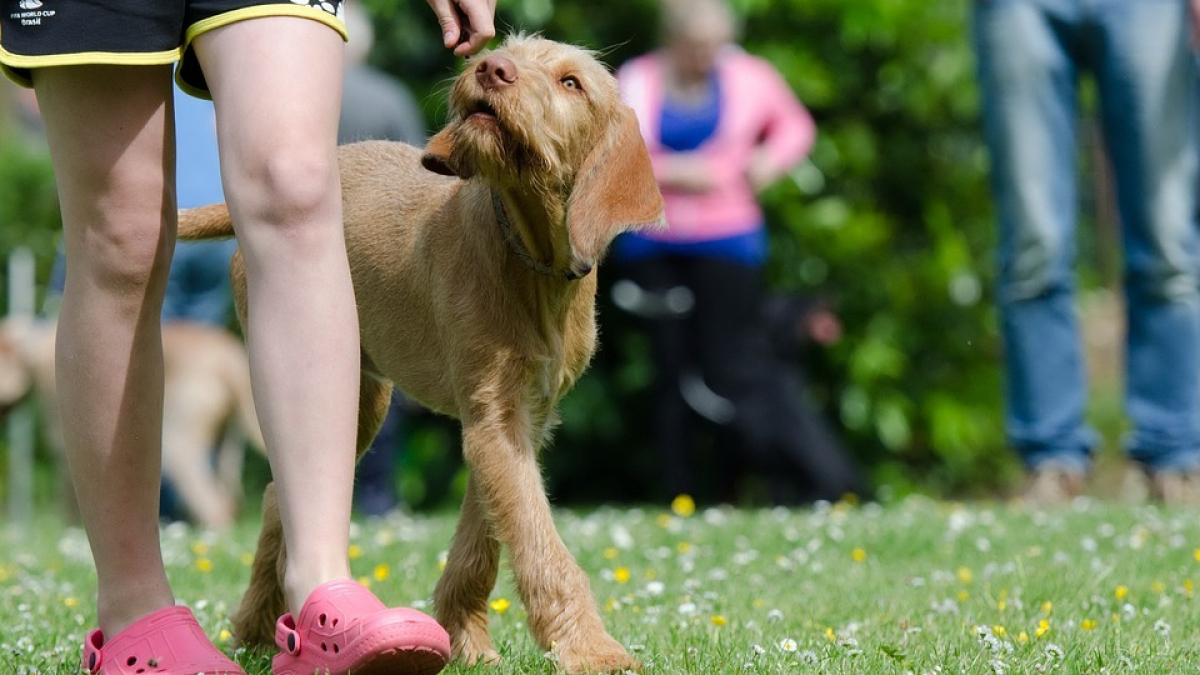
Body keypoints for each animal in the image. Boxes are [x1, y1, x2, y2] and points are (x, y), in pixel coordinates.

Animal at [0, 317, 265, 530]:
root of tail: (228, 359)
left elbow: (69, 498)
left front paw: (69, 530)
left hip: (178, 444)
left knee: (213, 505)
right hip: (227, 445)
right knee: (228, 498)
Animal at [177, 35, 667, 667]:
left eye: (570, 83)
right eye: (510, 51)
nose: (491, 67)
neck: (531, 259)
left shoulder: (516, 421)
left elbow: (484, 539)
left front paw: (466, 641)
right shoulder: (493, 419)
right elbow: (539, 542)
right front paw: (591, 649)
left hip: (359, 401)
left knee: (274, 499)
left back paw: (257, 630)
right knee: (276, 495)